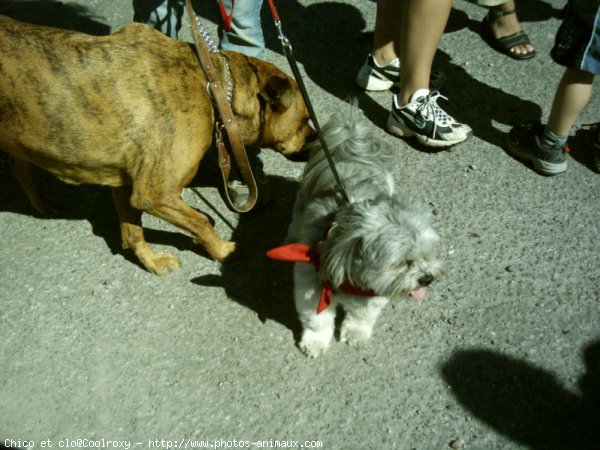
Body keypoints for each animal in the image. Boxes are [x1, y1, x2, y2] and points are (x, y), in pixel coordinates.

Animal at [0, 16, 316, 274]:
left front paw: (150, 261)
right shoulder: (155, 194)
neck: (212, 87)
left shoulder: (125, 184)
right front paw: (222, 249)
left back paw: (42, 204)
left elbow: (132, 232)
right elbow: (200, 220)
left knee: (18, 164)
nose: (316, 141)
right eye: (304, 120)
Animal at [270, 106, 442, 358]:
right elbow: (317, 320)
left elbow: (362, 316)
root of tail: (348, 147)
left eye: (428, 256)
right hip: (302, 200)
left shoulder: (372, 294)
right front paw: (315, 342)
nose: (427, 278)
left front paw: (356, 334)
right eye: (403, 263)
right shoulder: (312, 285)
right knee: (296, 217)